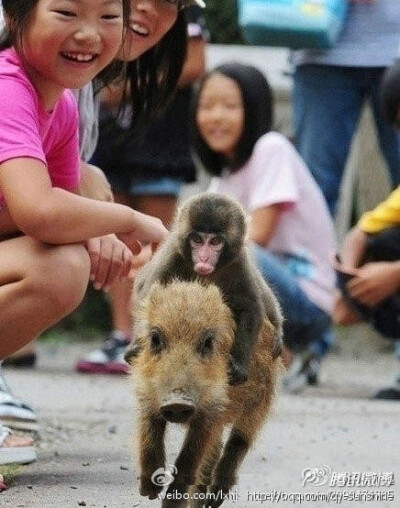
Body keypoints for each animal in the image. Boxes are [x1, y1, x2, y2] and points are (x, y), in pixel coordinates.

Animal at [126, 192, 284, 382]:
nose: (203, 258)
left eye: (215, 241)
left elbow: (251, 308)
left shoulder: (239, 263)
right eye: (197, 240)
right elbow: (149, 300)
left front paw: (239, 361)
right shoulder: (172, 255)